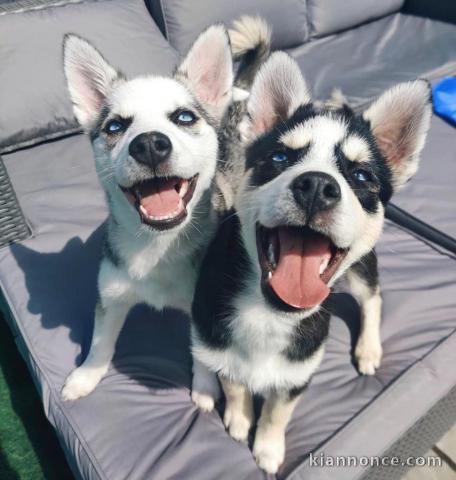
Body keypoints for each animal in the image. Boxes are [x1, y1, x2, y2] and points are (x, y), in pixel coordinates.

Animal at [191, 52, 432, 472]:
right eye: (279, 157)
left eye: (361, 175)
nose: (317, 186)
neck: (267, 313)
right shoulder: (218, 340)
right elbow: (234, 383)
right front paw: (239, 418)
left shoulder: (298, 372)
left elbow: (278, 411)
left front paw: (268, 447)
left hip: (362, 264)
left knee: (372, 297)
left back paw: (369, 349)